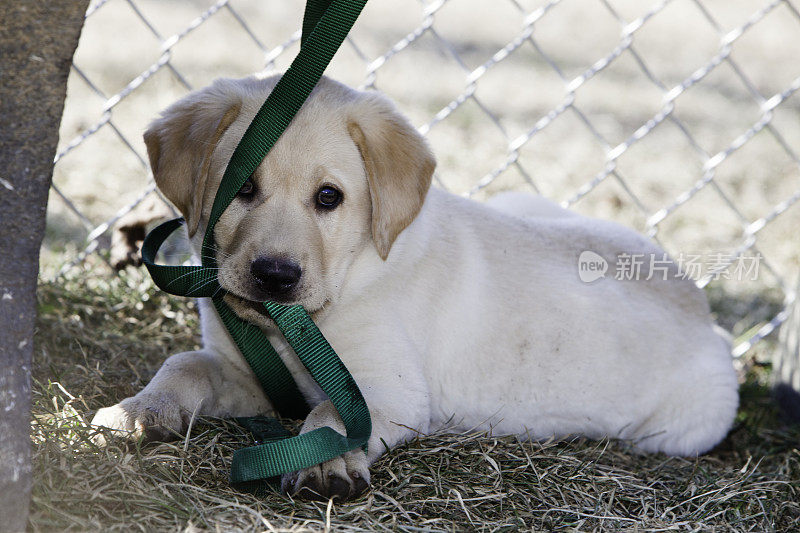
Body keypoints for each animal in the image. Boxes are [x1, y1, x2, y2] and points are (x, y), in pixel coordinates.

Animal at [92, 74, 736, 498]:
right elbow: (184, 364)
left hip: (680, 428)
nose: (274, 274)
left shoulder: (390, 391)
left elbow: (330, 414)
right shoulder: (249, 374)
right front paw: (138, 410)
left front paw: (326, 463)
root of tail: (706, 312)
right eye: (242, 189)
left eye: (329, 197)